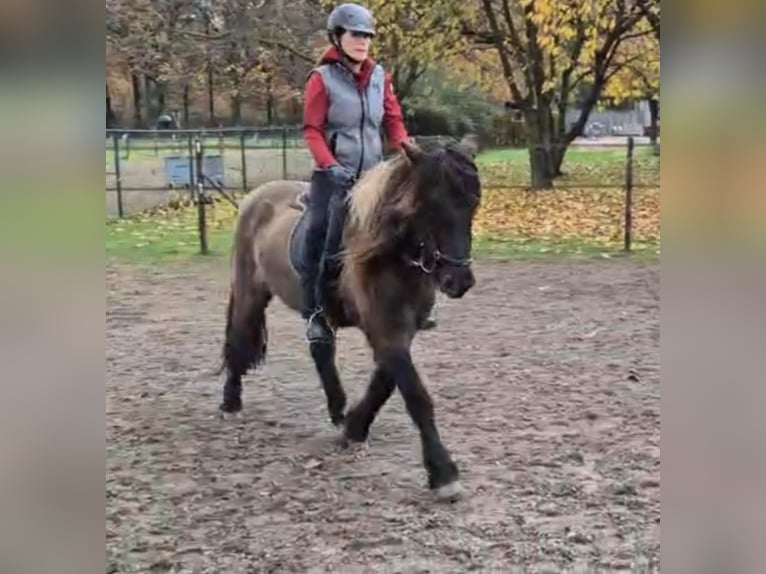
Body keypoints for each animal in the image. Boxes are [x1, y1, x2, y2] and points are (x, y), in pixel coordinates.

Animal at [219, 138, 482, 500]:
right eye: (432, 205)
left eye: (473, 204)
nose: (459, 281)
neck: (391, 252)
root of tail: (256, 196)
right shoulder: (384, 327)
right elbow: (414, 393)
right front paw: (443, 474)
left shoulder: (402, 327)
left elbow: (385, 381)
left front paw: (355, 427)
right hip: (250, 291)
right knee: (240, 337)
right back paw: (231, 402)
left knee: (321, 350)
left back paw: (338, 409)